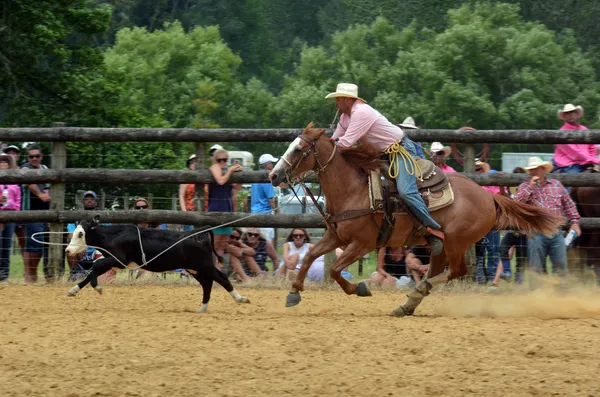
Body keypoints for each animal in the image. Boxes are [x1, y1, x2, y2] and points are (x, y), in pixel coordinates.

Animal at [65, 215, 251, 310]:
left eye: (81, 233)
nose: (67, 250)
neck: (114, 235)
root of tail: (200, 233)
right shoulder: (113, 262)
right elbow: (90, 274)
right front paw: (72, 291)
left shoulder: (118, 260)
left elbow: (95, 266)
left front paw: (99, 288)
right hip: (195, 268)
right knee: (208, 284)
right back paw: (203, 307)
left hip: (204, 265)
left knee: (222, 278)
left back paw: (241, 299)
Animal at [270, 124, 564, 316]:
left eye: (298, 149)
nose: (274, 175)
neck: (354, 189)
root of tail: (488, 196)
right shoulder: (336, 236)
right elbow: (310, 256)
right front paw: (294, 292)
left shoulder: (363, 244)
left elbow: (332, 269)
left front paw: (359, 288)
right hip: (442, 247)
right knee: (439, 271)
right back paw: (407, 304)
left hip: (456, 242)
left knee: (457, 271)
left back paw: (414, 294)